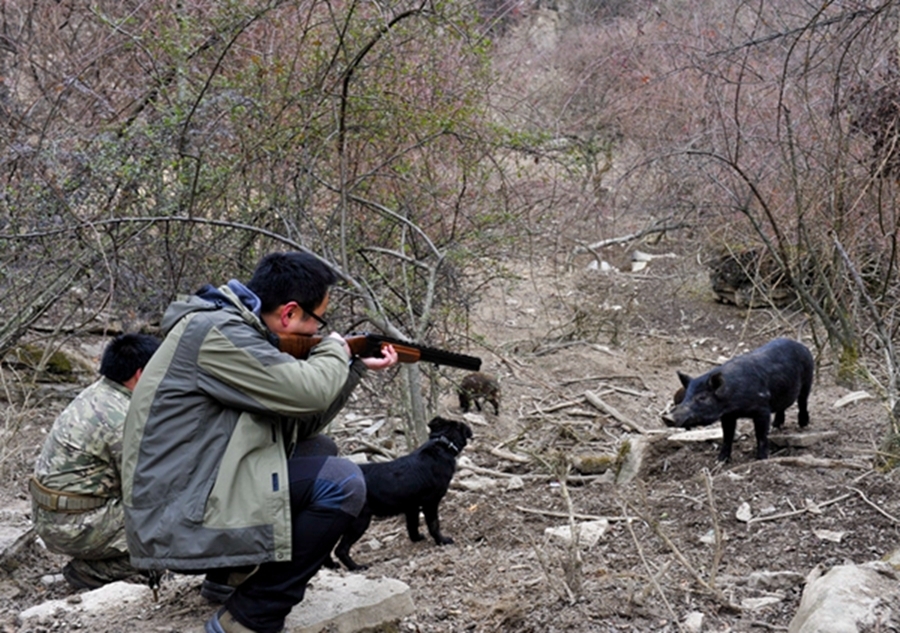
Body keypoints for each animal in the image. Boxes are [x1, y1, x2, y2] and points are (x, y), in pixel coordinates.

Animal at [328, 418, 472, 572]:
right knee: (340, 549)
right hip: (359, 520)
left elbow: (412, 525)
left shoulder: (412, 507)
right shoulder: (431, 502)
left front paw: (416, 538)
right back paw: (356, 567)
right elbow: (434, 524)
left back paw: (331, 565)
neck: (442, 444)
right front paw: (442, 540)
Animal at [660, 336, 816, 460]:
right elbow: (727, 436)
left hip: (808, 379)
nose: (667, 418)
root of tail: (802, 346)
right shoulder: (728, 416)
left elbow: (761, 435)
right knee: (782, 407)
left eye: (702, 397)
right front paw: (721, 460)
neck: (735, 404)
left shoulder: (762, 409)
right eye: (686, 396)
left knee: (803, 401)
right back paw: (776, 425)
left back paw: (803, 424)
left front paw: (761, 459)